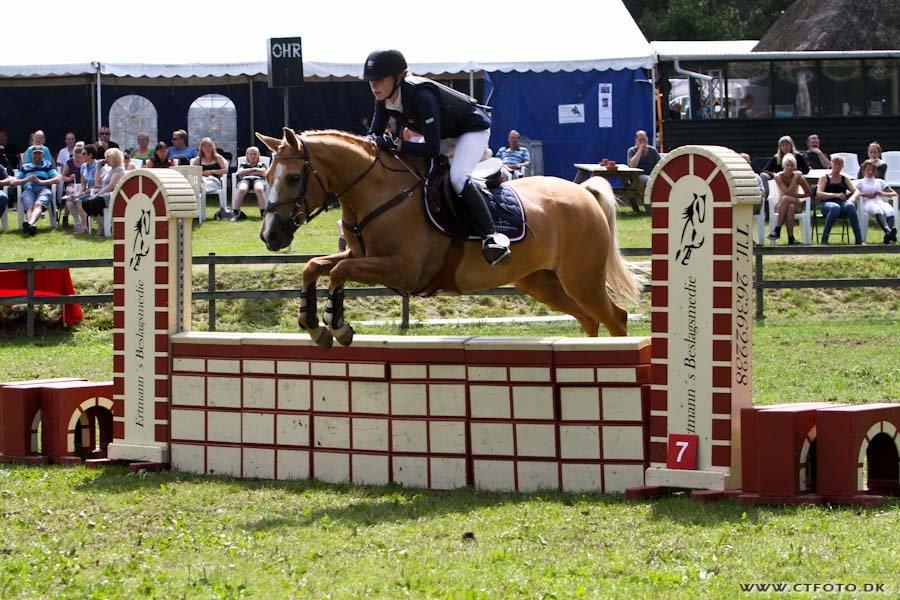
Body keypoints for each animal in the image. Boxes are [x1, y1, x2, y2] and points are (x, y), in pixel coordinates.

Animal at [256, 129, 644, 350]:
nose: (270, 235)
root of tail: (583, 192)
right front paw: (313, 325)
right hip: (542, 282)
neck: (379, 191)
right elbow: (314, 266)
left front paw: (337, 326)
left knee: (616, 317)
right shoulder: (360, 255)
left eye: (293, 178)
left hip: (581, 280)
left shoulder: (401, 269)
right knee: (590, 319)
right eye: (267, 175)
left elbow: (337, 273)